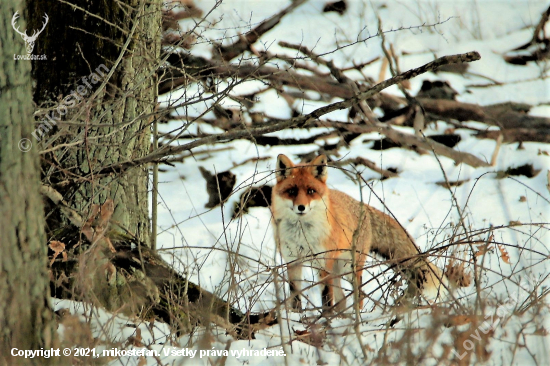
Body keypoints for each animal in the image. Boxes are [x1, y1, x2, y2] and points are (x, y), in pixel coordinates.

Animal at [272, 154, 466, 312]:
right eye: (292, 191)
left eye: (311, 191)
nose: (301, 207)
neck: (301, 233)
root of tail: (362, 205)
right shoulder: (293, 262)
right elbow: (295, 297)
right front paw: (298, 319)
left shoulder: (323, 264)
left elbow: (327, 299)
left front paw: (326, 324)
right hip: (337, 270)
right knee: (343, 299)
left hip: (349, 268)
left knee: (359, 296)